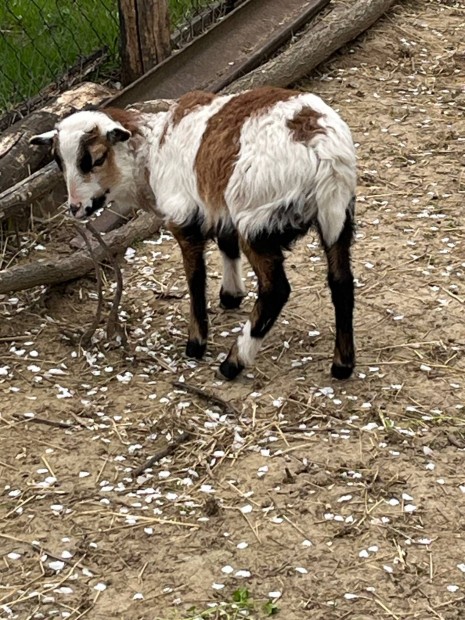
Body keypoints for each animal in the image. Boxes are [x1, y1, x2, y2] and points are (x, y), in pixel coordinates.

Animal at [30, 86, 357, 381]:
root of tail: (320, 146)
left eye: (97, 159)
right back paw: (342, 365)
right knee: (341, 281)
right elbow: (226, 245)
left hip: (258, 216)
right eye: (59, 162)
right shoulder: (217, 204)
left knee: (276, 289)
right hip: (337, 213)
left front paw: (196, 343)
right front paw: (230, 296)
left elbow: (195, 279)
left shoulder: (184, 216)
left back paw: (232, 363)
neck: (150, 152)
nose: (76, 208)